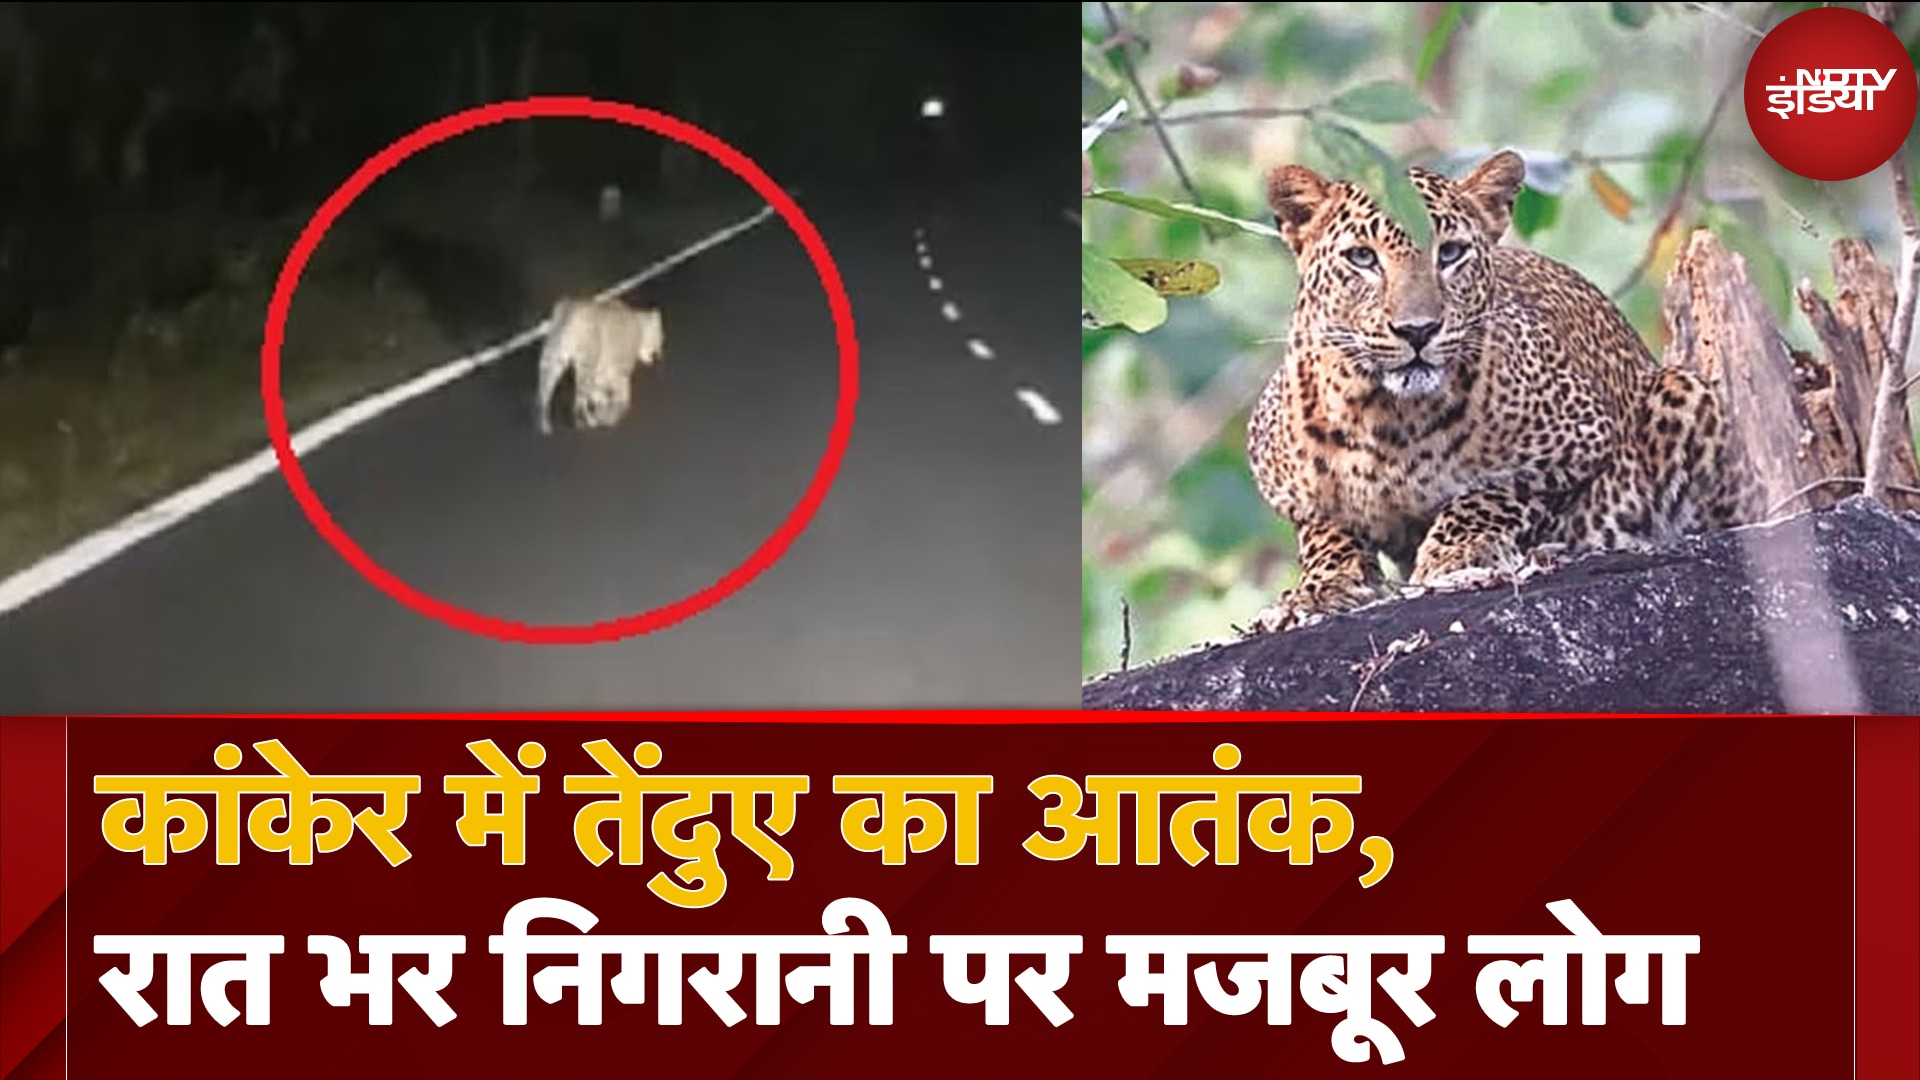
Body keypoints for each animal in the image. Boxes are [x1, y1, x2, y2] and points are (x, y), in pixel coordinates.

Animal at [534, 295, 664, 436]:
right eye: (660, 339)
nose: (659, 354)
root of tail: (570, 309)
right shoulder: (618, 372)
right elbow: (623, 396)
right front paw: (609, 413)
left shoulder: (604, 371)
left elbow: (598, 390)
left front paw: (601, 403)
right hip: (586, 363)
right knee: (578, 402)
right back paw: (586, 421)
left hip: (554, 359)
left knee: (544, 393)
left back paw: (544, 422)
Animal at [1243, 149, 1761, 635]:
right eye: (1362, 258)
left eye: (1451, 253)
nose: (1418, 330)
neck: (1388, 421)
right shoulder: (1282, 483)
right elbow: (1324, 529)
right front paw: (1321, 586)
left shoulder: (1581, 438)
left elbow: (1493, 492)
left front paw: (1457, 551)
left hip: (1685, 392)